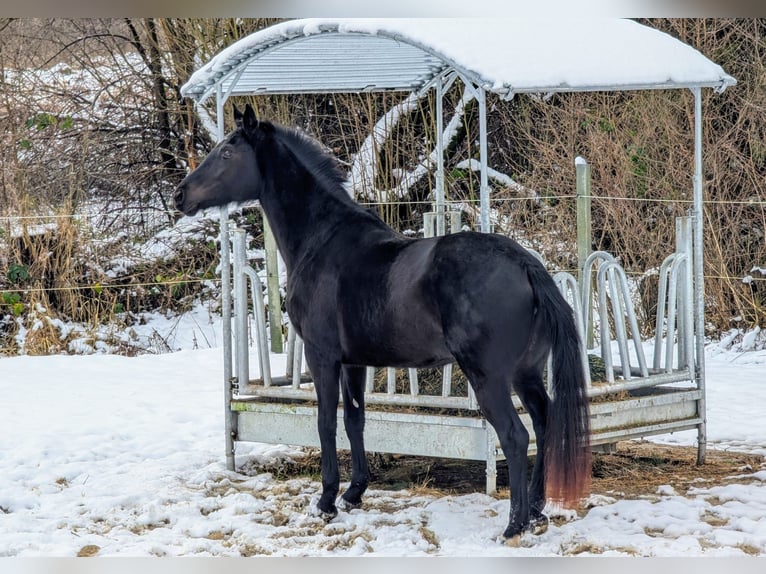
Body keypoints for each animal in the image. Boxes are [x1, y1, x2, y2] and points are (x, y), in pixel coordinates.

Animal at [176, 104, 592, 544]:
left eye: (227, 151)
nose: (180, 195)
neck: (322, 241)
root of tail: (526, 264)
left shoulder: (322, 357)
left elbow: (325, 422)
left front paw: (326, 501)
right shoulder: (354, 362)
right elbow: (355, 420)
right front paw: (354, 493)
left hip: (490, 378)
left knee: (515, 436)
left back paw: (514, 524)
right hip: (526, 374)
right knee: (545, 425)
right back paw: (538, 510)